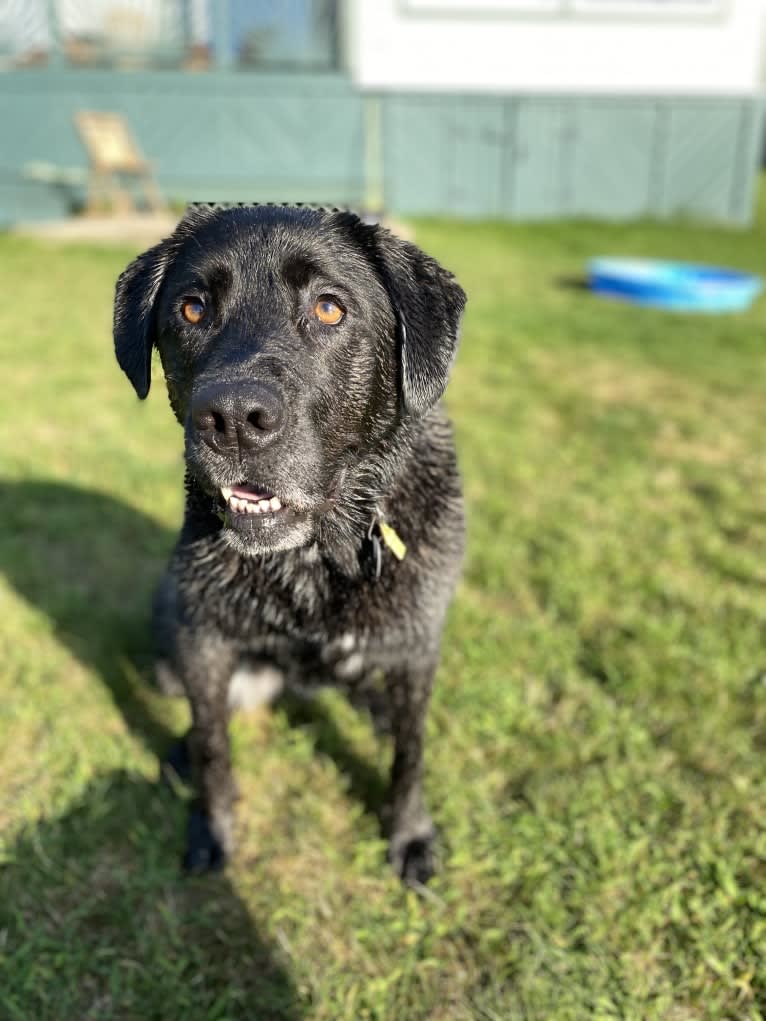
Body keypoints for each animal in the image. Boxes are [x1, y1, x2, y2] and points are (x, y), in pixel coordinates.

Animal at [113, 203, 467, 882]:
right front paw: (212, 827)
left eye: (329, 308)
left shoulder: (416, 646)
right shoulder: (204, 641)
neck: (313, 557)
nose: (232, 419)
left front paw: (409, 834)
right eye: (191, 309)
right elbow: (214, 745)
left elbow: (410, 753)